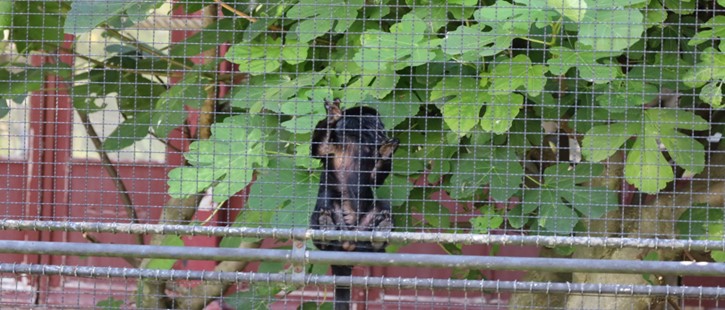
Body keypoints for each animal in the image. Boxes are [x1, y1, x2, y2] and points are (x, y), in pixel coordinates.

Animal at [308, 98, 398, 308]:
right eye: (375, 122)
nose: (382, 128)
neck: (356, 142)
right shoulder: (336, 143)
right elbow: (319, 149)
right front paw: (333, 115)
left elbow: (374, 179)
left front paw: (387, 151)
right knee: (326, 200)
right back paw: (326, 227)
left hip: (362, 234)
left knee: (383, 205)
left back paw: (380, 233)